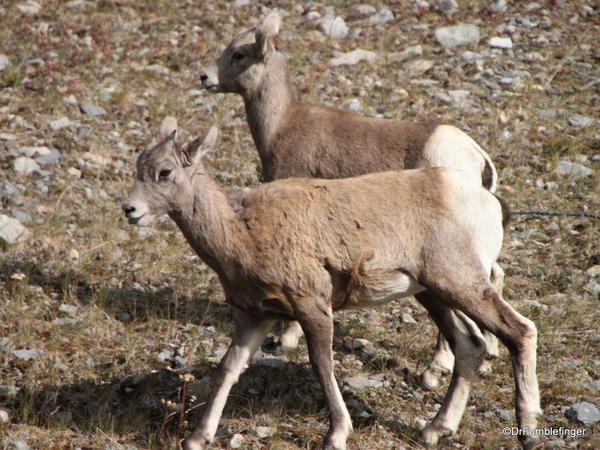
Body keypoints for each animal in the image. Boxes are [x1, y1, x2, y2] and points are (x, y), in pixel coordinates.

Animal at [123, 118, 544, 450]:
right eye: (139, 167)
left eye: (164, 172)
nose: (130, 210)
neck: (240, 230)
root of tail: (490, 204)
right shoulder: (255, 316)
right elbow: (229, 367)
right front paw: (197, 437)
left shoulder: (312, 307)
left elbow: (322, 364)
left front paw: (337, 434)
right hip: (433, 293)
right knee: (469, 346)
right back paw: (434, 431)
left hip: (461, 284)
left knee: (519, 332)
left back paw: (527, 431)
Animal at [200, 12, 502, 388]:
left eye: (238, 54)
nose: (205, 77)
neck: (281, 124)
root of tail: (477, 157)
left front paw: (285, 340)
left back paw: (435, 372)